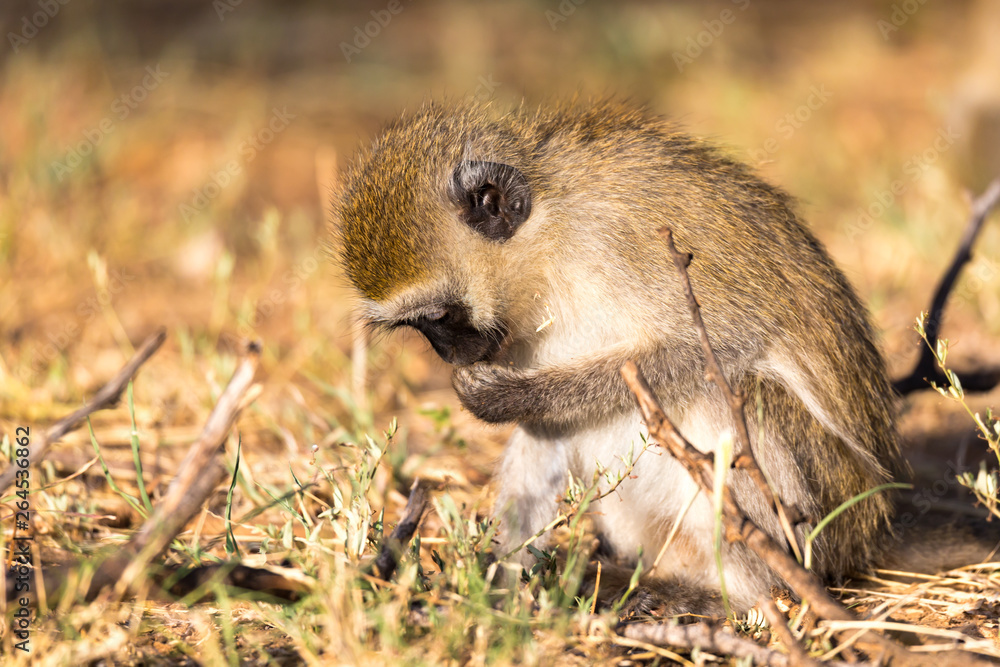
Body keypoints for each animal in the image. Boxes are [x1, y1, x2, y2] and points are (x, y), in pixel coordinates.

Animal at [333, 99, 968, 615]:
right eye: (418, 327)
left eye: (439, 317)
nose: (447, 353)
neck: (549, 239)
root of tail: (872, 533)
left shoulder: (623, 240)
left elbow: (721, 342)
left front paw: (510, 394)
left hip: (818, 526)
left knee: (730, 394)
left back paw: (745, 597)